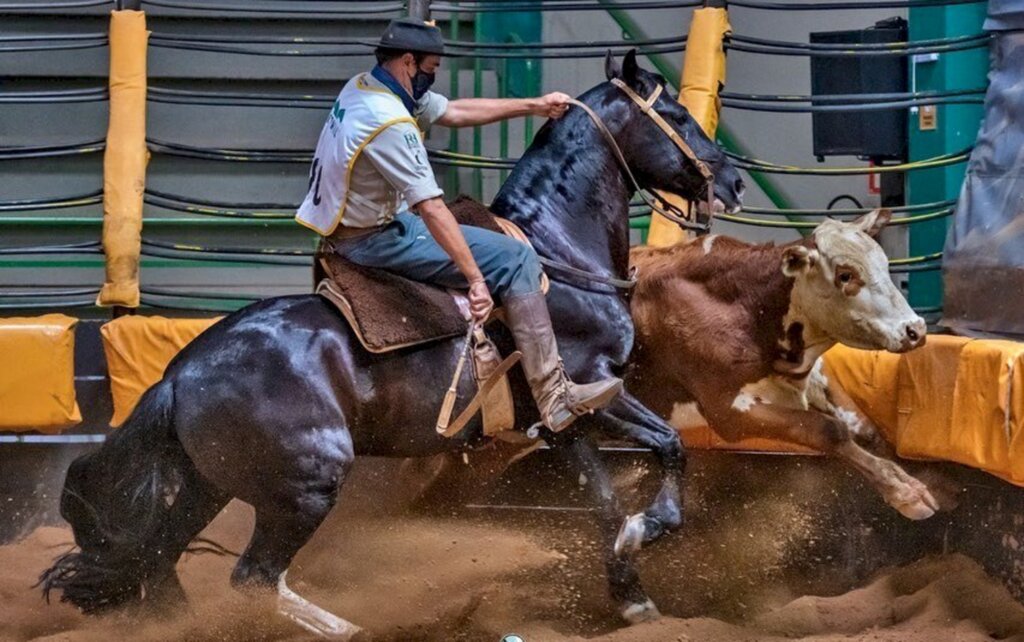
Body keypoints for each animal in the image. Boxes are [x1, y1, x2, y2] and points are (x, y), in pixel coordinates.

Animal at [41, 52, 745, 634]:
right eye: (677, 114)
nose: (734, 180)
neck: (555, 251)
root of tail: (178, 375)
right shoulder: (594, 386)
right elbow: (671, 447)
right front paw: (649, 527)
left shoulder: (564, 424)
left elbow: (603, 502)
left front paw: (632, 592)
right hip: (307, 486)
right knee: (253, 579)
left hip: (207, 484)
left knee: (158, 562)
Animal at [622, 210, 937, 522]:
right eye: (845, 275)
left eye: (884, 264)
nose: (915, 330)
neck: (747, 309)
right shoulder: (727, 410)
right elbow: (826, 429)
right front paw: (904, 492)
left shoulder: (811, 376)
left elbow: (864, 428)